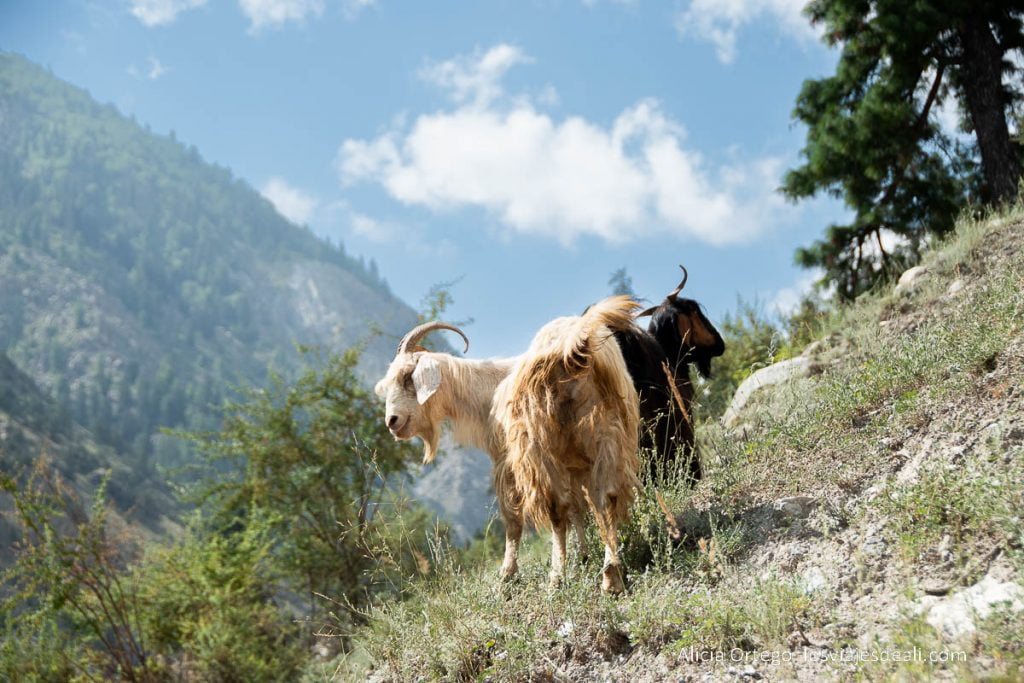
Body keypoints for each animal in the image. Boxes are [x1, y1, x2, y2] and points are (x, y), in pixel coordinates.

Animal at [375, 296, 641, 593]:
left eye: (407, 376)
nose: (392, 421)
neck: (487, 390)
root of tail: (573, 349)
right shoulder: (574, 463)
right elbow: (579, 509)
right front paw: (582, 557)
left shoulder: (506, 460)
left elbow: (514, 520)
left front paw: (507, 574)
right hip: (608, 432)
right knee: (606, 497)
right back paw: (611, 576)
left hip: (539, 445)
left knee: (556, 508)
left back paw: (556, 578)